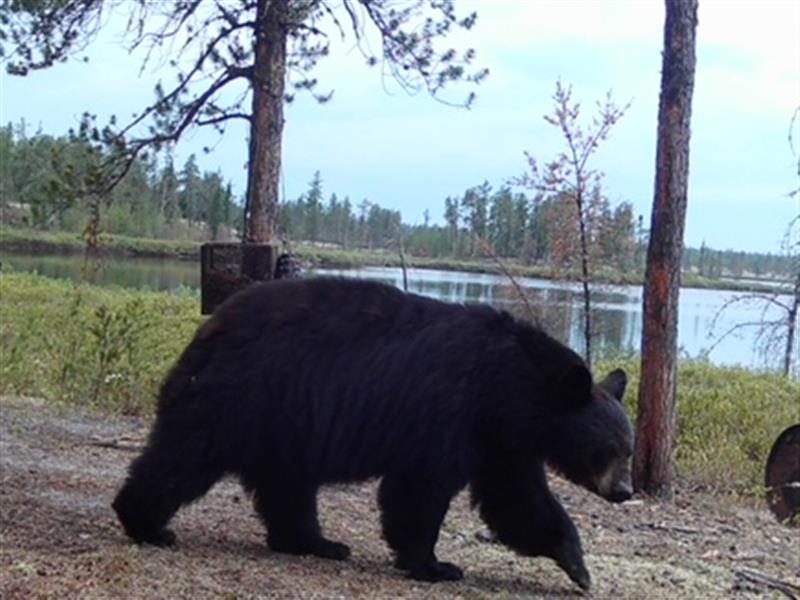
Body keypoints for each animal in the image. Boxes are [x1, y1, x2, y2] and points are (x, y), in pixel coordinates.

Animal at [114, 276, 632, 592]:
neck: (510, 385)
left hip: (284, 422)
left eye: (627, 449)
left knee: (287, 485)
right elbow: (420, 488)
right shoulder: (451, 411)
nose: (625, 490)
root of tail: (213, 323)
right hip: (239, 396)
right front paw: (434, 564)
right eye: (607, 449)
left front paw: (578, 566)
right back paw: (146, 523)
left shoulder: (501, 442)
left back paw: (316, 543)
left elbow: (518, 501)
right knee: (185, 456)